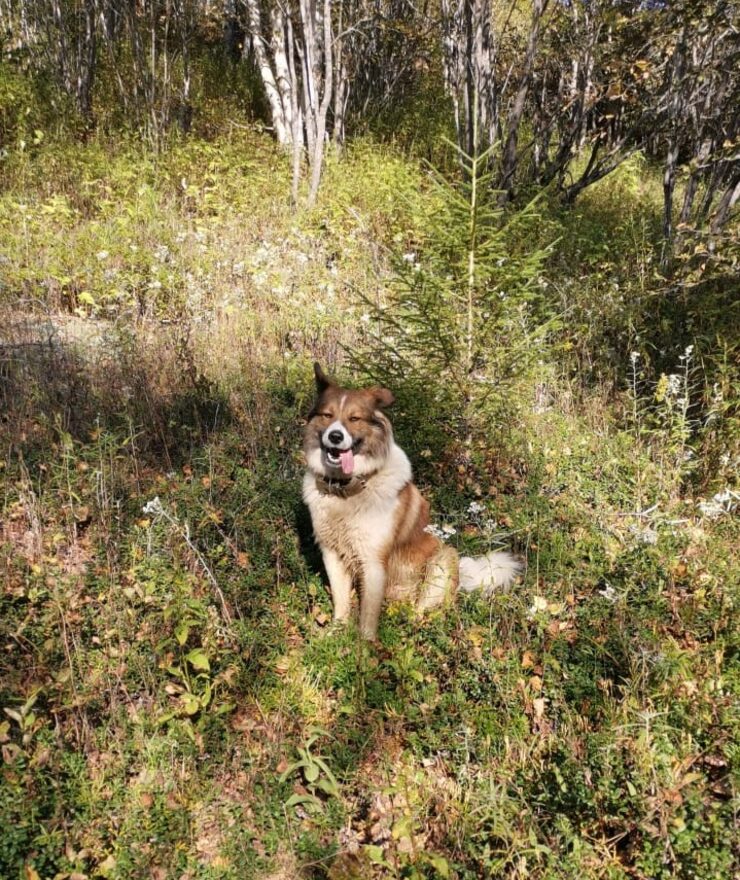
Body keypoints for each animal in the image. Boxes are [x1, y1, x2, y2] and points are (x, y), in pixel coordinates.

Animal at [300, 362, 520, 640]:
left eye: (354, 418)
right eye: (327, 415)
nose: (336, 437)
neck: (348, 490)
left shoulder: (373, 561)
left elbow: (368, 616)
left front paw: (365, 646)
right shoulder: (332, 554)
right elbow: (342, 602)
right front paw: (335, 634)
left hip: (444, 559)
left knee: (422, 611)